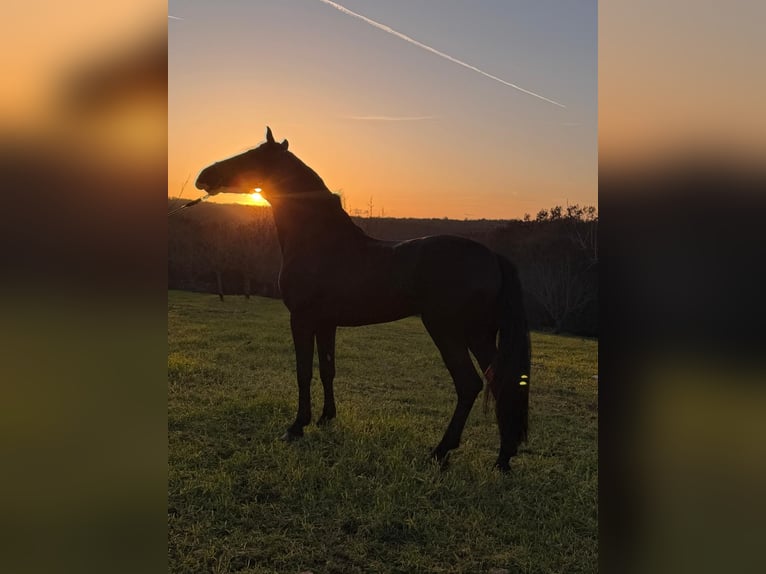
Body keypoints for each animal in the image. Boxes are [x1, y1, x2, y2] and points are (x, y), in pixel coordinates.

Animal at [195, 127, 531, 471]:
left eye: (253, 156)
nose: (204, 176)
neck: (319, 242)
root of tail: (492, 257)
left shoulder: (301, 319)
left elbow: (303, 371)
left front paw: (296, 427)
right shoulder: (325, 323)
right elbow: (327, 369)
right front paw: (326, 419)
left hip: (446, 330)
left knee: (469, 384)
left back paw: (441, 451)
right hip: (479, 334)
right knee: (502, 380)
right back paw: (503, 458)